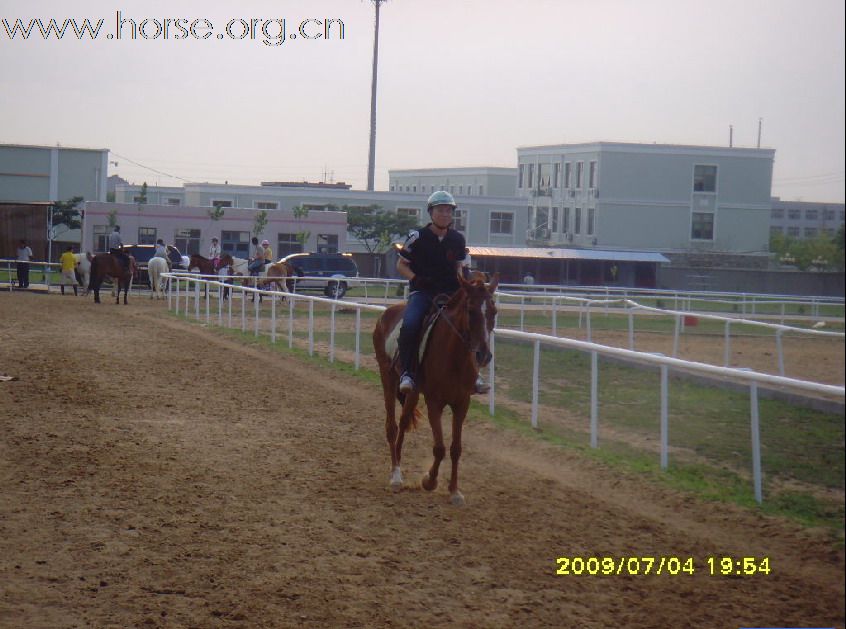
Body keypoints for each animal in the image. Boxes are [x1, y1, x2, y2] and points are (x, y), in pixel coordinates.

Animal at [374, 272, 500, 502]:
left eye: (493, 311)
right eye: (470, 310)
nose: (484, 355)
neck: (454, 358)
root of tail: (385, 314)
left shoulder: (462, 403)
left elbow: (456, 448)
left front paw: (455, 491)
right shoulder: (435, 402)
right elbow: (440, 448)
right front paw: (429, 481)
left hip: (413, 392)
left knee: (403, 422)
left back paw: (399, 465)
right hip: (387, 378)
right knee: (391, 426)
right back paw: (395, 474)